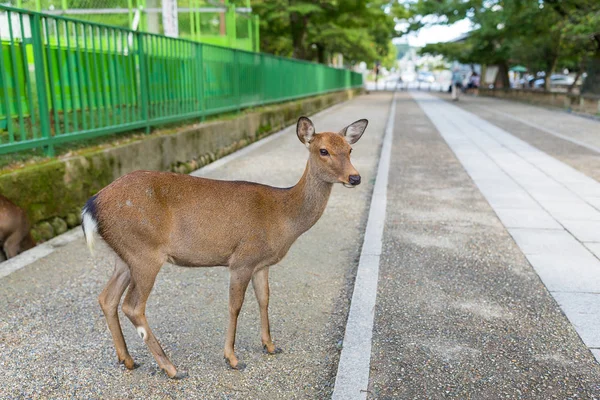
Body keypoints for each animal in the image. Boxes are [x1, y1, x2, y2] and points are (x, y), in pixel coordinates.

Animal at [82, 115, 368, 378]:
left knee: (107, 298)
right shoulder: (242, 259)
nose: (355, 177)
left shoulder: (261, 263)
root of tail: (91, 206)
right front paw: (232, 358)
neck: (283, 217)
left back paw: (128, 359)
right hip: (144, 252)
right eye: (323, 150)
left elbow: (264, 299)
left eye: (350, 149)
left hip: (124, 255)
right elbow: (235, 305)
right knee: (132, 305)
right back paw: (171, 368)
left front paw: (270, 345)